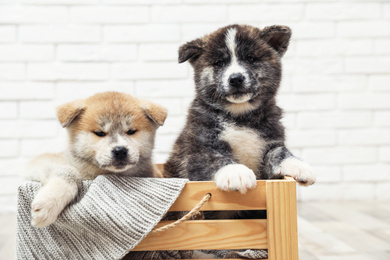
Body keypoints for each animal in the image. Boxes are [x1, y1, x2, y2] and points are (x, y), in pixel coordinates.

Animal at [22, 91, 166, 228]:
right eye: (100, 133)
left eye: (131, 131)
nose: (120, 151)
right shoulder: (40, 163)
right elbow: (69, 172)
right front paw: (48, 204)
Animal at [165, 24, 316, 206]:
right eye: (219, 63)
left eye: (251, 59)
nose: (236, 78)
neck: (240, 116)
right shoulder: (196, 153)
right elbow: (215, 157)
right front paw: (235, 172)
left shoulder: (270, 144)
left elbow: (279, 151)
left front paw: (296, 164)